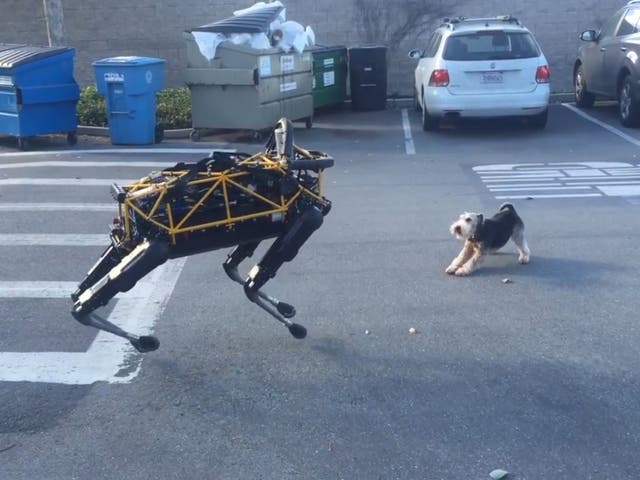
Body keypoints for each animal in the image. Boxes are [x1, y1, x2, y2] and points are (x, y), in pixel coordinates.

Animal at [70, 119, 332, 352]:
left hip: (126, 244)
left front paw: (283, 310)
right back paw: (136, 337)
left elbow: (235, 267)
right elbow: (255, 279)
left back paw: (81, 298)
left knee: (89, 282)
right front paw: (291, 323)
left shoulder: (266, 225)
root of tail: (127, 202)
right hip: (155, 247)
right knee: (95, 295)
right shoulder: (303, 218)